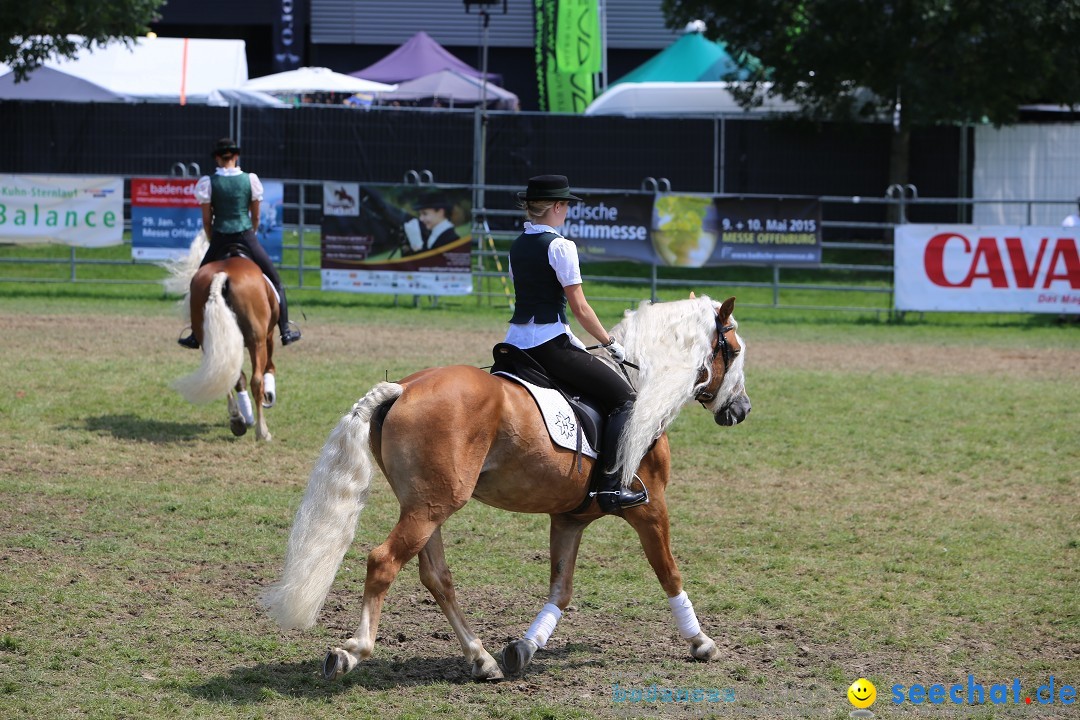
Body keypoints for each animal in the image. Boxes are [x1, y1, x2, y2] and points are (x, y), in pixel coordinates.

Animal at [165, 234, 280, 442]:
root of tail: (222, 275)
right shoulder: (267, 336)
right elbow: (269, 367)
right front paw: (269, 394)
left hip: (213, 341)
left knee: (227, 374)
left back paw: (237, 420)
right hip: (256, 341)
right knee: (255, 380)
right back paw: (262, 431)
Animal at [261, 293, 751, 682]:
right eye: (734, 350)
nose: (741, 410)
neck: (641, 388)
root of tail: (403, 387)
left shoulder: (569, 519)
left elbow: (561, 591)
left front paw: (524, 648)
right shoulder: (649, 508)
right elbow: (669, 573)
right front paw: (701, 642)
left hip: (425, 505)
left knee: (436, 577)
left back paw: (482, 660)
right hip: (431, 506)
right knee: (383, 562)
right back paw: (352, 652)